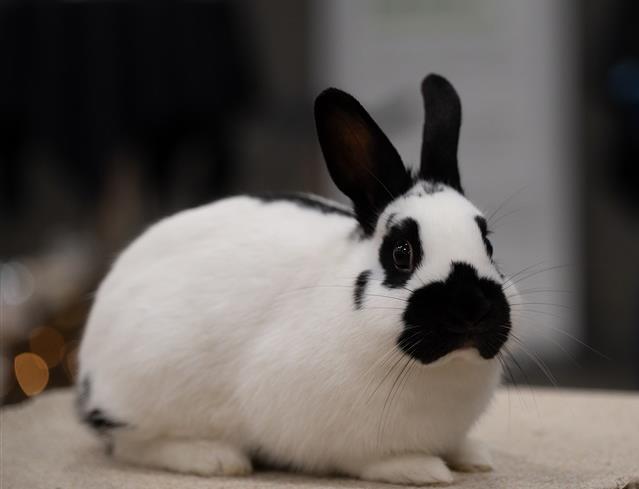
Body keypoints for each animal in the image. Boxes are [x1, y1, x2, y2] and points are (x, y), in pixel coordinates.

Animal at [77, 73, 517, 486]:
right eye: (402, 253)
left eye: (488, 244)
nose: (473, 308)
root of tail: (87, 374)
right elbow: (372, 460)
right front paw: (421, 469)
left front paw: (475, 456)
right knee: (131, 443)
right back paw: (215, 458)